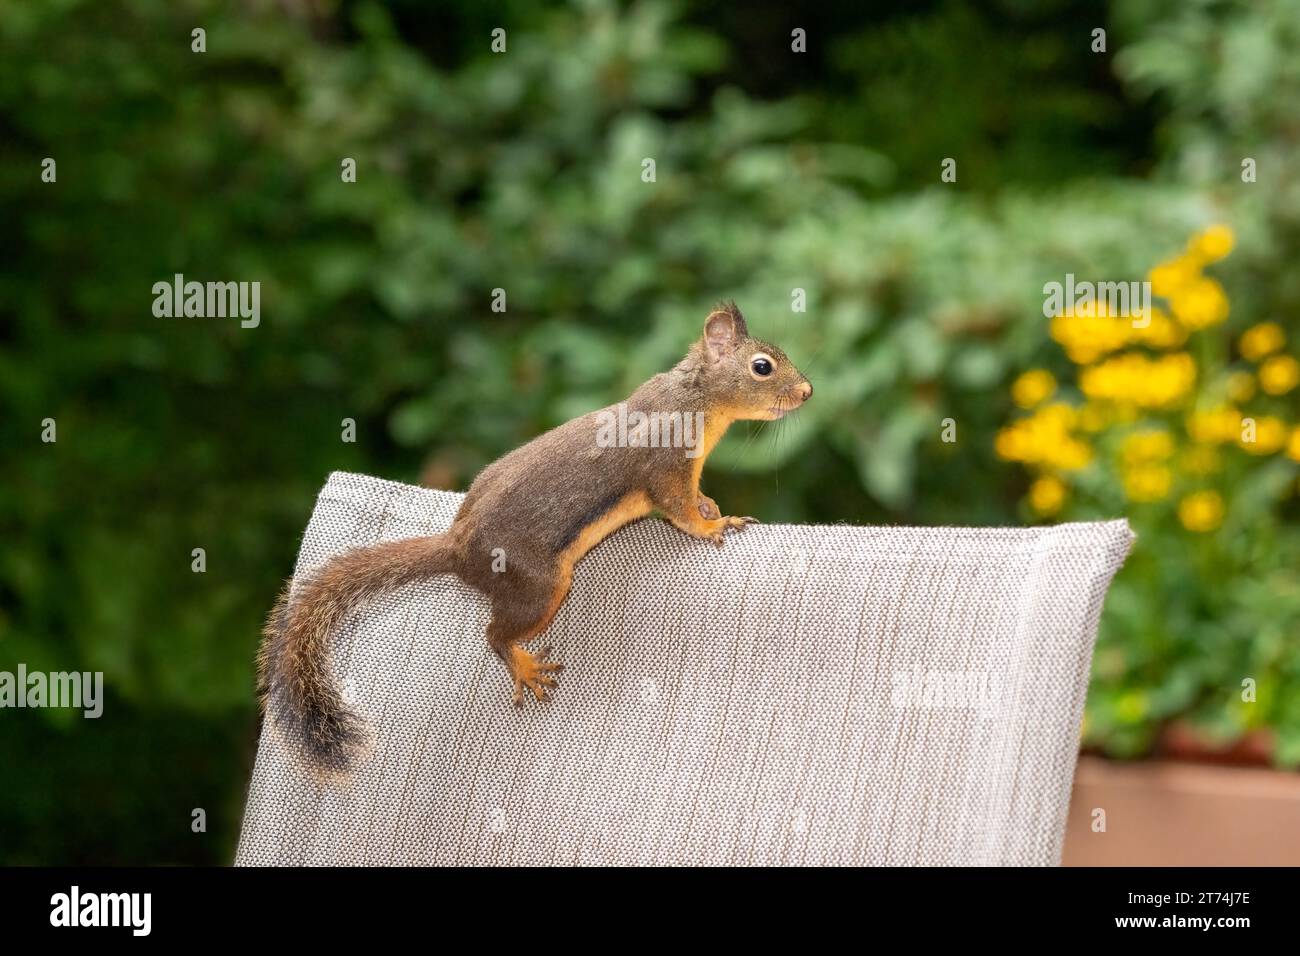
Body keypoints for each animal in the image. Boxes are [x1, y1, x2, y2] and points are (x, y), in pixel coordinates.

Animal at [257, 302, 813, 773]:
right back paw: (522, 665)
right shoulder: (666, 465)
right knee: (495, 633)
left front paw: (711, 504)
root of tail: (458, 548)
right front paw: (715, 523)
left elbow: (693, 498)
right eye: (763, 367)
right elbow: (678, 510)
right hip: (541, 583)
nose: (807, 391)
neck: (696, 397)